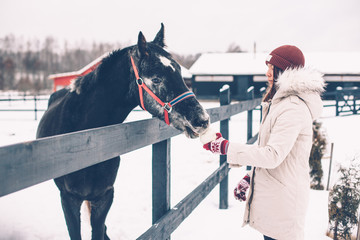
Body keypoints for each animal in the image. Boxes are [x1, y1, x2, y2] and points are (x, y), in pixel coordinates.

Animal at [36, 24, 208, 240]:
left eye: (178, 70)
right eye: (156, 79)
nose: (202, 120)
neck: (85, 141)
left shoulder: (105, 197)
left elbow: (98, 231)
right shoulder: (68, 199)